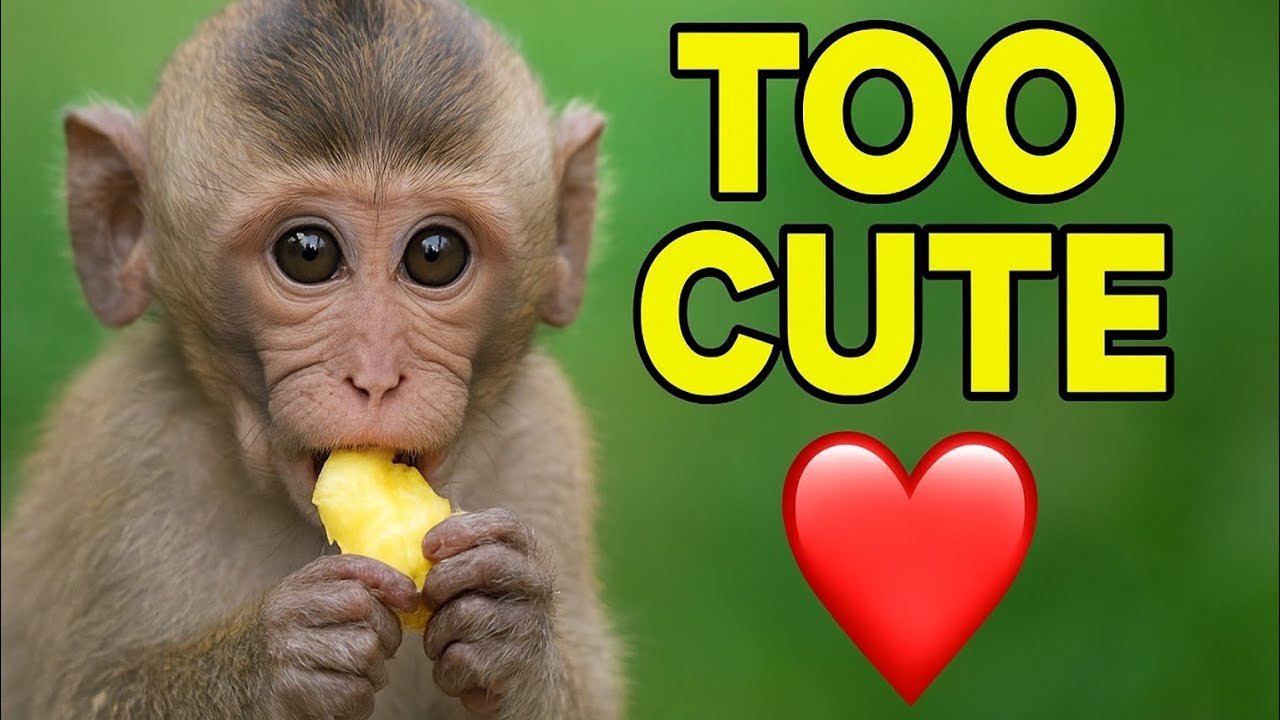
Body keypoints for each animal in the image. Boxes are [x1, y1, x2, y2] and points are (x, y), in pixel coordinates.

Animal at [0, 0, 622, 718]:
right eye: (308, 252)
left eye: (435, 255)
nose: (376, 378)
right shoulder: (125, 440)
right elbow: (84, 693)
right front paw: (283, 658)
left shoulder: (546, 438)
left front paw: (511, 624)